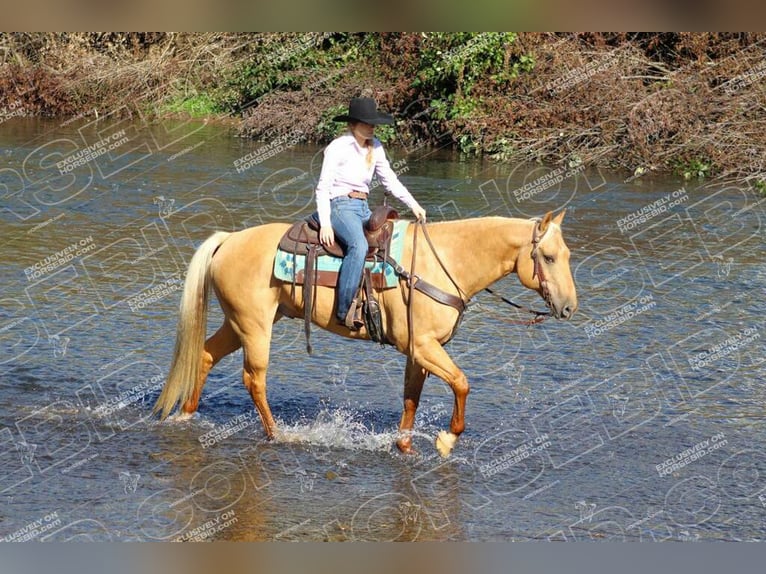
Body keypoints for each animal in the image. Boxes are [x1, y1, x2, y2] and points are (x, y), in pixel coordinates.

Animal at [154, 212, 576, 460]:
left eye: (567, 254)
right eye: (549, 257)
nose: (570, 307)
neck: (442, 262)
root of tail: (228, 240)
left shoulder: (418, 352)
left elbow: (411, 398)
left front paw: (404, 444)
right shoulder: (423, 347)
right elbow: (461, 383)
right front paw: (447, 440)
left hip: (240, 324)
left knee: (205, 355)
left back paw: (186, 414)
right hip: (255, 327)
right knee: (253, 379)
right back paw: (277, 435)